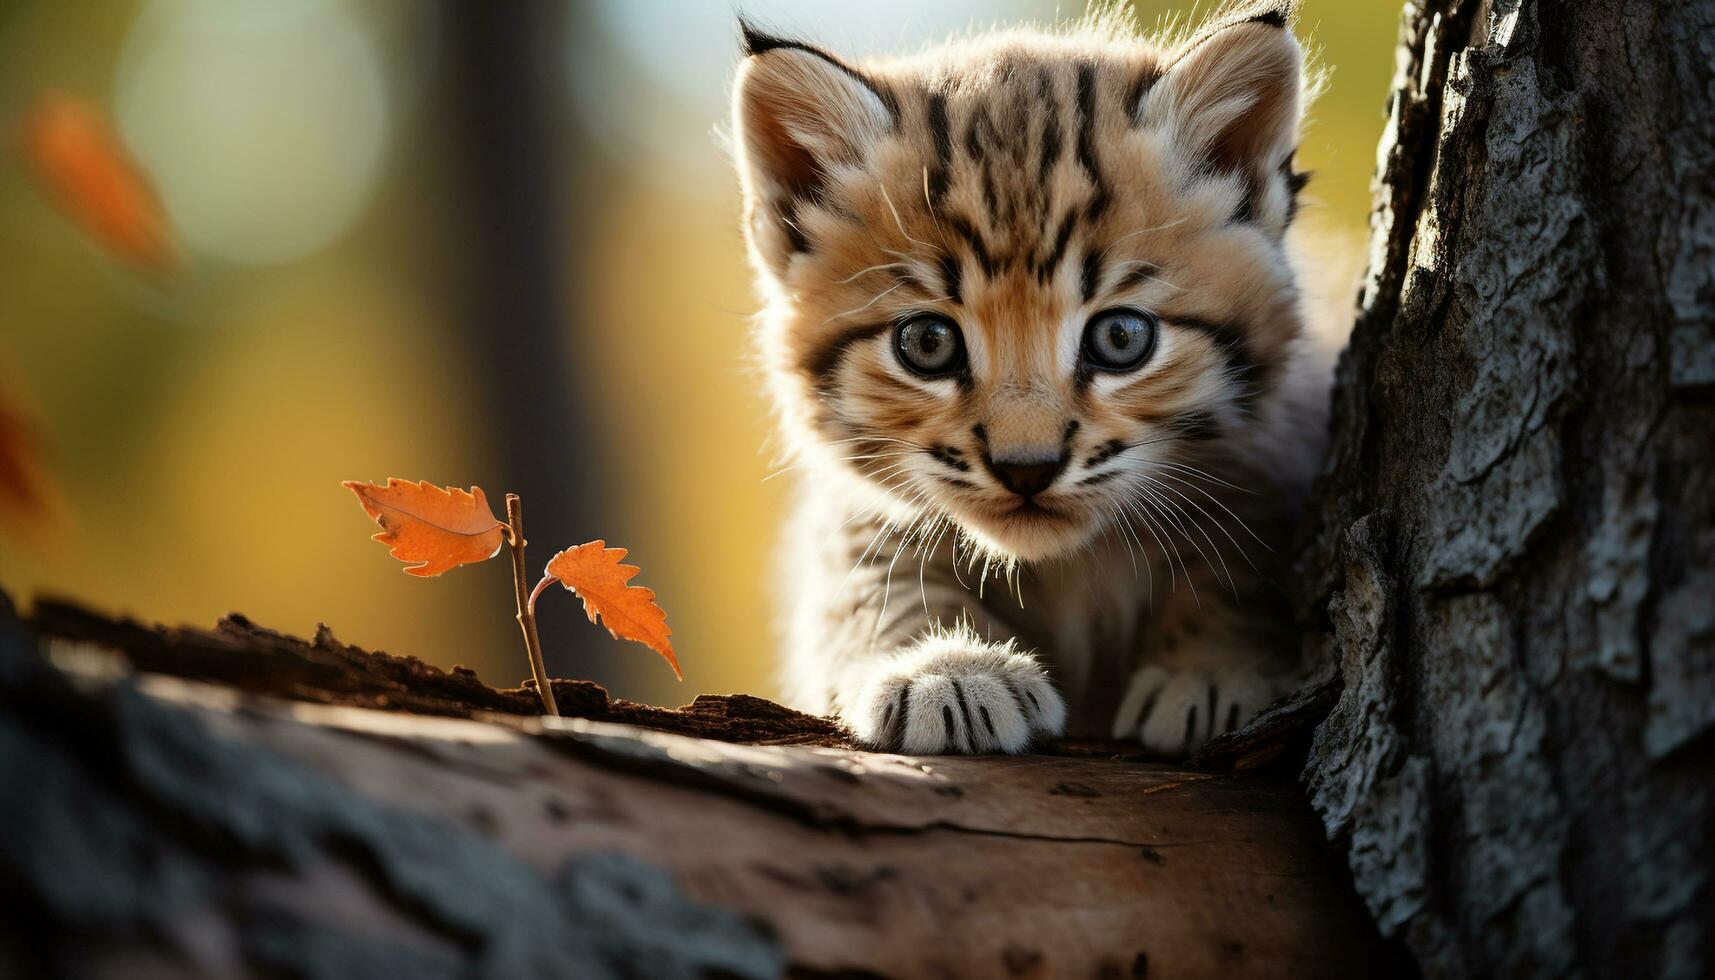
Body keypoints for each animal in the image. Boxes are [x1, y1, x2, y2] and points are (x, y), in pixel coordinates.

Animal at [734, 1, 1337, 758]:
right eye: (927, 344)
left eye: (1120, 339)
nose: (1027, 468)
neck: (1068, 562)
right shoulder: (856, 513)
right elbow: (870, 585)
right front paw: (943, 667)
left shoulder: (1269, 458)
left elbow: (1238, 564)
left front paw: (1217, 669)